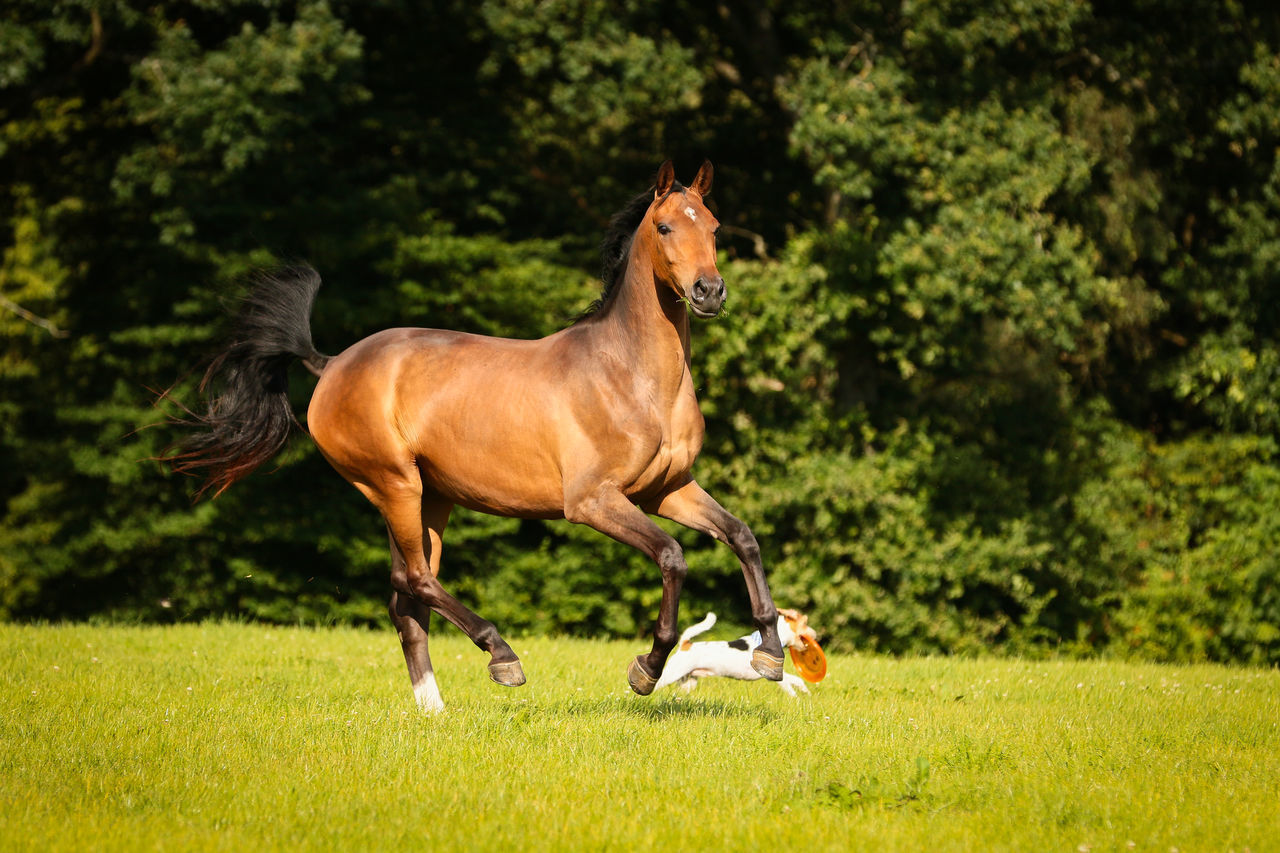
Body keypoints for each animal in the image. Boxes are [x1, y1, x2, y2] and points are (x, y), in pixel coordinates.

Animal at [172, 161, 778, 712]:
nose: (709, 292)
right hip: (394, 485)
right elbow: (673, 556)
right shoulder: (593, 502)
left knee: (406, 599)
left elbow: (743, 537)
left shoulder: (666, 490)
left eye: (715, 226)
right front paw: (645, 670)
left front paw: (769, 652)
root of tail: (332, 364)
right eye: (666, 227)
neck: (631, 376)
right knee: (416, 582)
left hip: (429, 499)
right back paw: (502, 657)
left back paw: (433, 708)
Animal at [655, 604, 824, 691]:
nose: (816, 635)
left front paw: (805, 694)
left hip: (688, 681)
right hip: (673, 673)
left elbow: (798, 681)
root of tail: (685, 644)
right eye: (805, 623)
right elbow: (790, 684)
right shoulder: (772, 674)